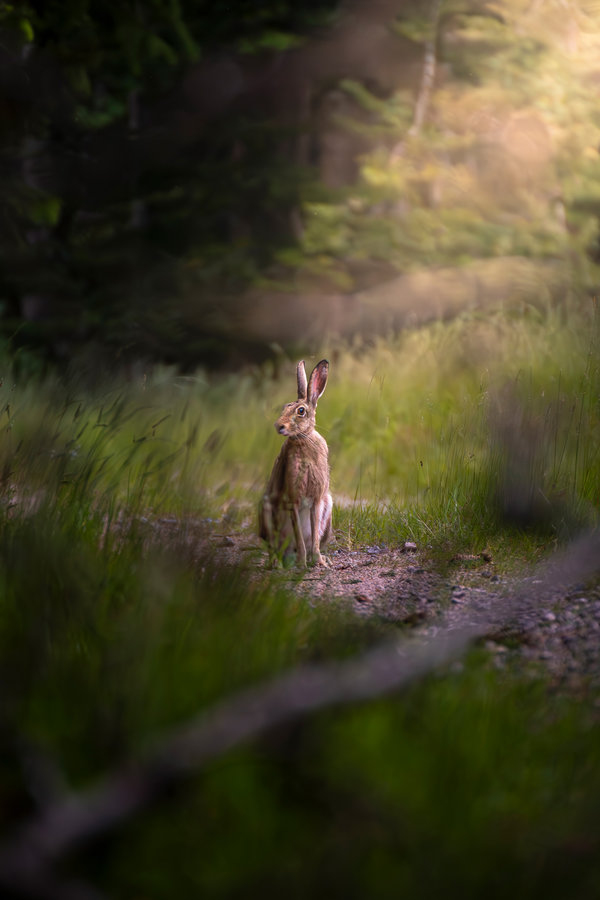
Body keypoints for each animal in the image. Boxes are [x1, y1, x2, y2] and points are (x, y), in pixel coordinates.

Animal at [259, 359, 333, 567]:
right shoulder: (293, 499)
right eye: (284, 407)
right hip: (267, 510)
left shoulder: (317, 500)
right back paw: (278, 564)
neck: (303, 438)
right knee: (274, 546)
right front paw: (302, 563)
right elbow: (298, 534)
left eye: (301, 411)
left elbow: (313, 535)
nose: (279, 426)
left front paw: (318, 561)